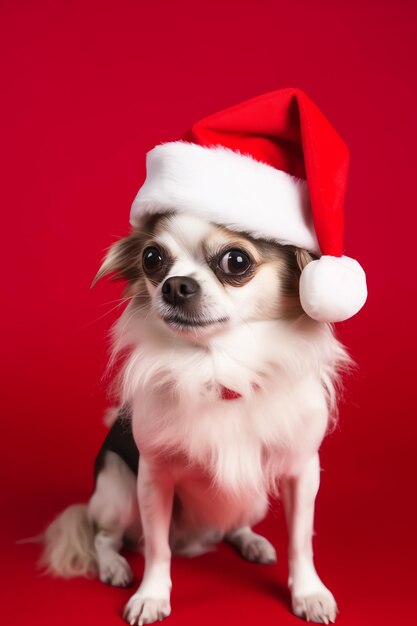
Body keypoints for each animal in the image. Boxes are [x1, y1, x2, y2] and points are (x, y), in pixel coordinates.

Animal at [40, 208, 350, 620]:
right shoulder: (153, 477)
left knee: (233, 525)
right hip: (118, 491)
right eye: (151, 258)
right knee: (106, 538)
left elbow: (301, 541)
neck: (219, 367)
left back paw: (252, 543)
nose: (175, 285)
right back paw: (114, 567)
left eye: (237, 261)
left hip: (250, 499)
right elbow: (157, 549)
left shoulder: (302, 472)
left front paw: (308, 593)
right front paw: (151, 596)